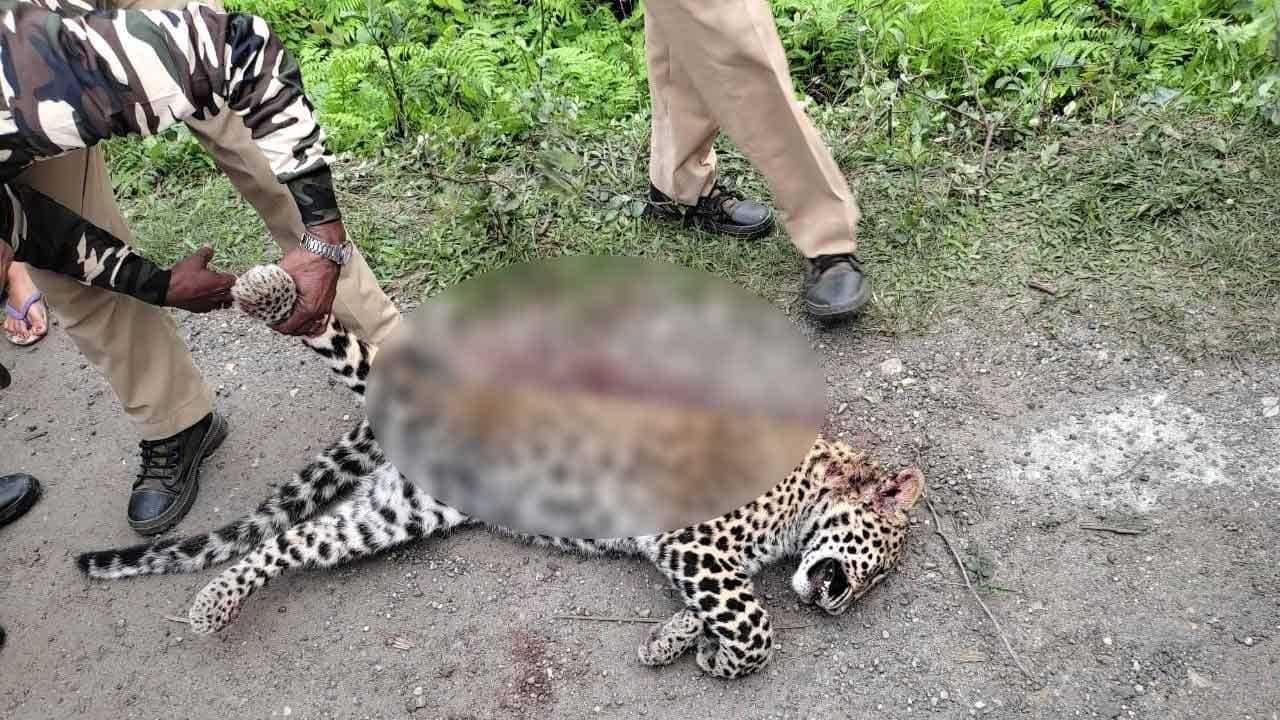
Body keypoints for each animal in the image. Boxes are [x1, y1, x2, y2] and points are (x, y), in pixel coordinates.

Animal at [76, 264, 925, 680]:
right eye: (878, 563)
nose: (839, 604)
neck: (803, 491)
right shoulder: (696, 542)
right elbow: (756, 623)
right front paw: (719, 656)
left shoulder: (698, 558)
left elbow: (722, 608)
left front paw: (673, 641)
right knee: (338, 344)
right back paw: (270, 289)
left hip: (396, 510)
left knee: (289, 543)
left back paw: (212, 605)